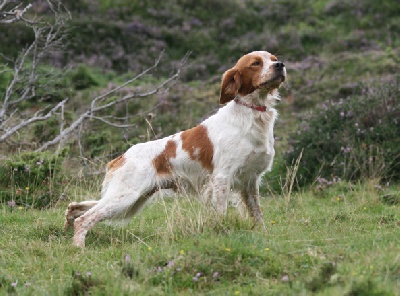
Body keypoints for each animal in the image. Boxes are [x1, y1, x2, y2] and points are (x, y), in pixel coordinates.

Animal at [65, 51, 284, 247]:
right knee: (85, 219)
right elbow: (221, 214)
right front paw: (222, 234)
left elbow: (257, 214)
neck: (253, 115)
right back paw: (78, 247)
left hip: (134, 200)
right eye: (256, 63)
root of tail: (121, 157)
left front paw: (264, 236)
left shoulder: (250, 182)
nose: (280, 65)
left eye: (273, 58)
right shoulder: (222, 178)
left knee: (77, 208)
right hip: (126, 197)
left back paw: (70, 219)